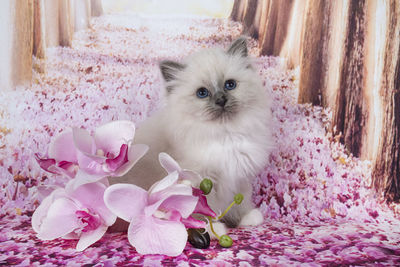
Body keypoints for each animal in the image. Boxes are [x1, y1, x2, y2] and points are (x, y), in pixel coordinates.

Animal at [114, 37, 274, 232]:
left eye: (230, 85)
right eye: (202, 93)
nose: (221, 100)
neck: (225, 135)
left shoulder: (240, 178)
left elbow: (241, 202)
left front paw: (247, 218)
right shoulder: (200, 181)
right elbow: (205, 208)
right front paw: (212, 228)